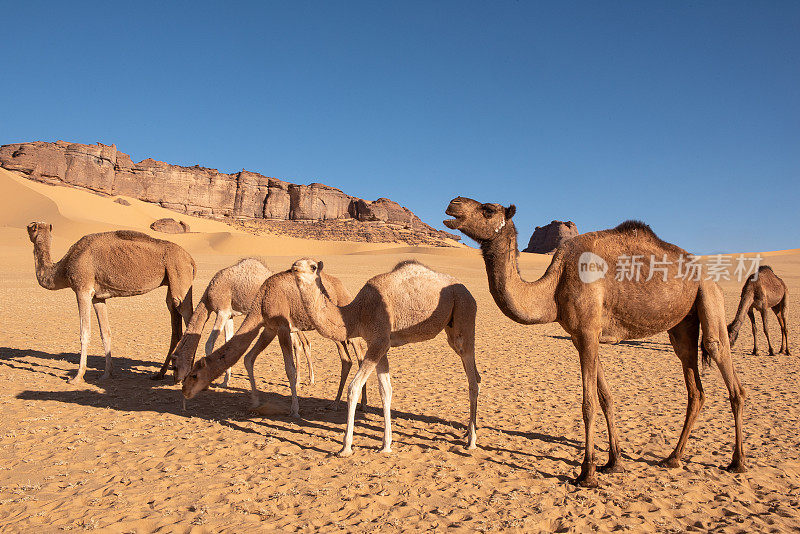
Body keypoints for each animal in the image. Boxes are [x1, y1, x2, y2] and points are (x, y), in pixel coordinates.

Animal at [26, 222, 195, 386]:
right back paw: (160, 374)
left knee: (188, 317)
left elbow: (84, 332)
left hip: (180, 277)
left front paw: (77, 377)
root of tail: (191, 260)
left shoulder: (82, 289)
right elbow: (105, 332)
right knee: (176, 323)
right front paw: (107, 374)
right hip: (172, 284)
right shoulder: (98, 297)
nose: (27, 227)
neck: (63, 268)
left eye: (32, 226)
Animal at [170, 258, 312, 388]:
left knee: (298, 343)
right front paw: (225, 381)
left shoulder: (222, 311)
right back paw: (306, 380)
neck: (207, 299)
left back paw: (299, 381)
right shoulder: (230, 315)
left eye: (175, 365)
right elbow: (228, 340)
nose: (176, 380)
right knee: (301, 342)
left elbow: (209, 343)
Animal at [180, 270, 368, 416]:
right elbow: (248, 358)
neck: (262, 301)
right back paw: (336, 404)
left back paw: (362, 404)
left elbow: (290, 369)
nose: (185, 391)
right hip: (337, 334)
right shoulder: (269, 329)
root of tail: (343, 288)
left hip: (349, 324)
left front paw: (295, 410)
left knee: (359, 355)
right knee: (347, 360)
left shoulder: (283, 327)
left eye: (194, 375)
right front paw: (255, 402)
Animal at [290, 258, 478, 458]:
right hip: (452, 327)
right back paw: (467, 432)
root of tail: (468, 292)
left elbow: (354, 388)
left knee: (472, 381)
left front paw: (345, 447)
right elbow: (385, 390)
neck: (357, 314)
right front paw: (386, 445)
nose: (294, 268)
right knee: (475, 375)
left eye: (312, 267)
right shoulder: (380, 344)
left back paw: (471, 441)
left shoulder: (378, 341)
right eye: (296, 262)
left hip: (464, 311)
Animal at [446, 198, 748, 490]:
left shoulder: (588, 332)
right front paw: (614, 462)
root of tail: (706, 273)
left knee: (725, 366)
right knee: (695, 388)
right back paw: (673, 457)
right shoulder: (581, 337)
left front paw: (587, 473)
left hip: (709, 295)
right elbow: (606, 398)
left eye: (487, 210)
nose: (453, 203)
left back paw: (737, 462)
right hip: (682, 324)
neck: (554, 287)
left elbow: (588, 404)